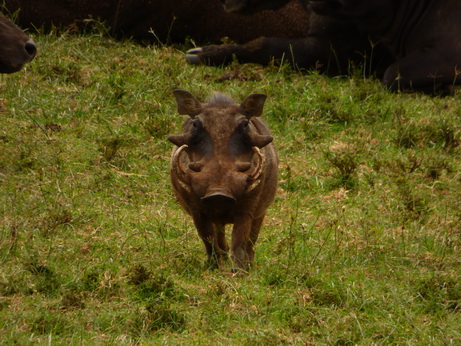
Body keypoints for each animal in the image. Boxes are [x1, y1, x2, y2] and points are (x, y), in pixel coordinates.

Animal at [169, 89, 276, 270]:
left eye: (245, 124)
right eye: (195, 124)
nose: (218, 194)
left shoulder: (247, 210)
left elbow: (240, 244)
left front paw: (240, 271)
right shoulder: (197, 211)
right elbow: (208, 242)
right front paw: (214, 268)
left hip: (260, 213)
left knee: (251, 243)